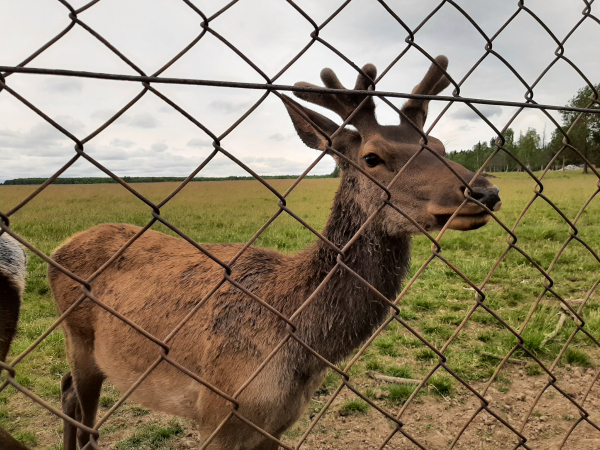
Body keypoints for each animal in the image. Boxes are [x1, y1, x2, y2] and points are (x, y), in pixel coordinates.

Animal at [50, 57, 502, 450]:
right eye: (372, 157)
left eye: (440, 145)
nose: (485, 191)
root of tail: (58, 248)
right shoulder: (217, 412)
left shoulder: (277, 424)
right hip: (78, 335)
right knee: (78, 403)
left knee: (68, 391)